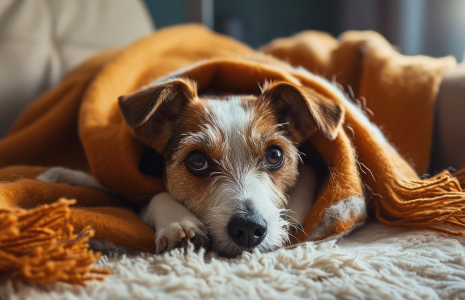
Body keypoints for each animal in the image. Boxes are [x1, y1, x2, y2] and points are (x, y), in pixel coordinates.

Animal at [38, 74, 342, 256]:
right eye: (197, 160)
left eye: (275, 155)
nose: (248, 228)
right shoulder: (131, 184)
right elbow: (154, 195)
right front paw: (178, 223)